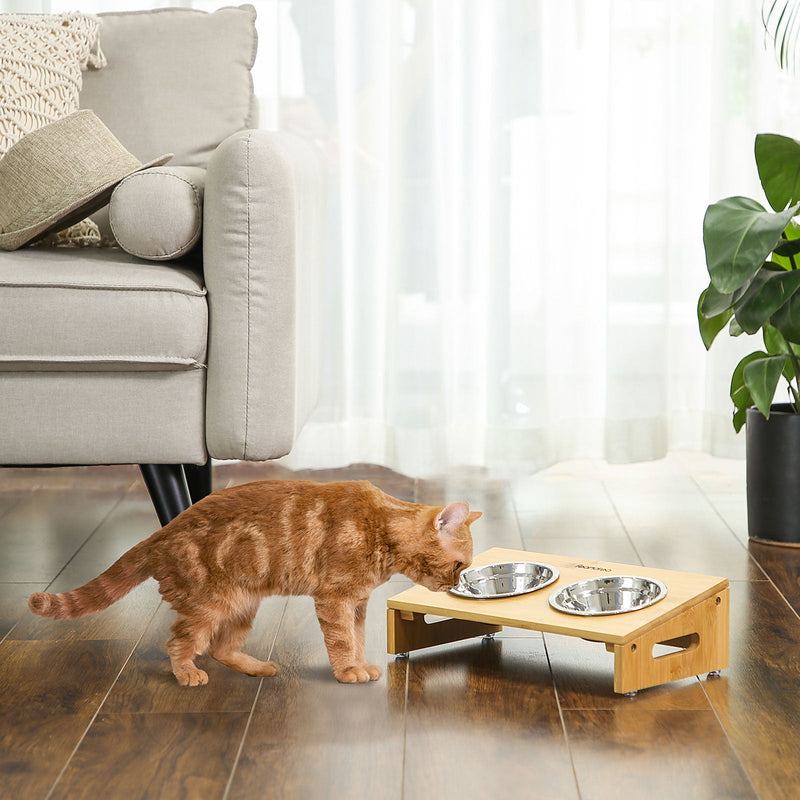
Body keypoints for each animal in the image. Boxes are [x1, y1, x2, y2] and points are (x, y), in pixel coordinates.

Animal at [28, 482, 478, 688]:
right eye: (459, 564)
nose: (458, 584)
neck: (379, 528)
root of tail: (159, 534)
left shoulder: (358, 602)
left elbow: (359, 636)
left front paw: (360, 664)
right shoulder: (334, 599)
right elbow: (342, 641)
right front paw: (348, 670)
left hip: (242, 606)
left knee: (221, 648)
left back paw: (259, 667)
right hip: (210, 604)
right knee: (180, 643)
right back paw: (187, 674)